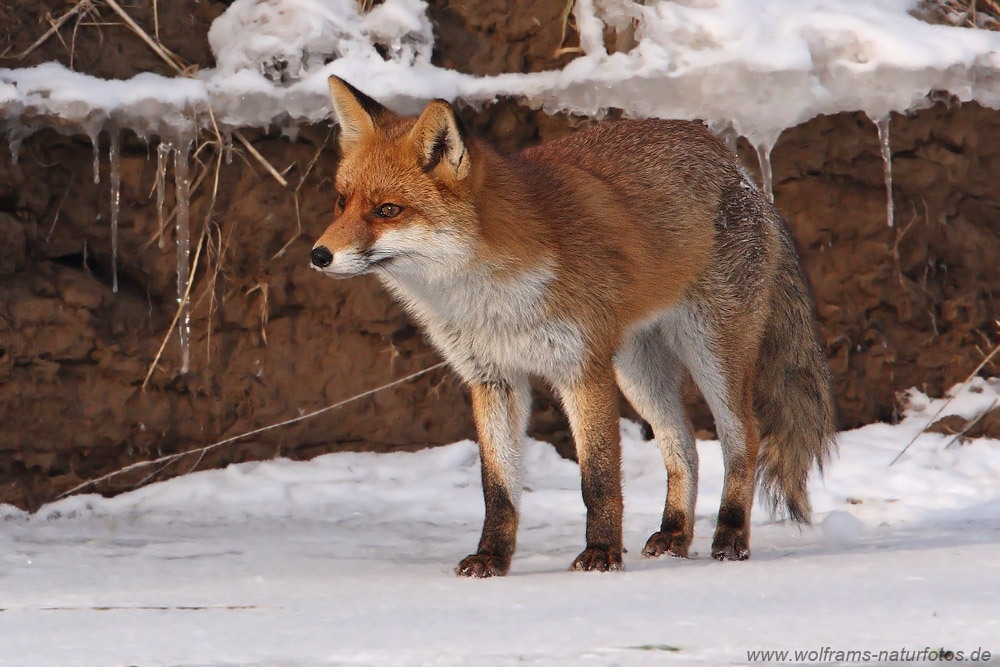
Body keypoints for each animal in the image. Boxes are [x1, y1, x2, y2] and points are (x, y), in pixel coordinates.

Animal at [310, 76, 836, 577]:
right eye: (341, 202)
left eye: (387, 210)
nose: (318, 255)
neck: (488, 298)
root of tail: (740, 171)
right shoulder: (493, 379)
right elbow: (498, 488)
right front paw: (491, 558)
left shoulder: (582, 369)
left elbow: (598, 479)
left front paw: (601, 553)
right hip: (638, 372)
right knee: (683, 446)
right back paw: (674, 536)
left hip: (711, 352)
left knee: (742, 437)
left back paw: (729, 537)